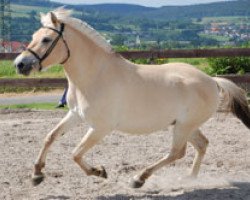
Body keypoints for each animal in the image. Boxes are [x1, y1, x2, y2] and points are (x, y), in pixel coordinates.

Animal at [14, 7, 250, 188]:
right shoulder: (75, 115)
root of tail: (211, 80)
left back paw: (138, 179)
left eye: (46, 39)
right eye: (33, 37)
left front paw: (99, 171)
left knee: (177, 152)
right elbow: (50, 137)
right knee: (201, 145)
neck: (95, 76)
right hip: (185, 125)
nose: (20, 64)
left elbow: (76, 153)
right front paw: (37, 175)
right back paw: (188, 179)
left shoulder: (101, 128)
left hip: (184, 126)